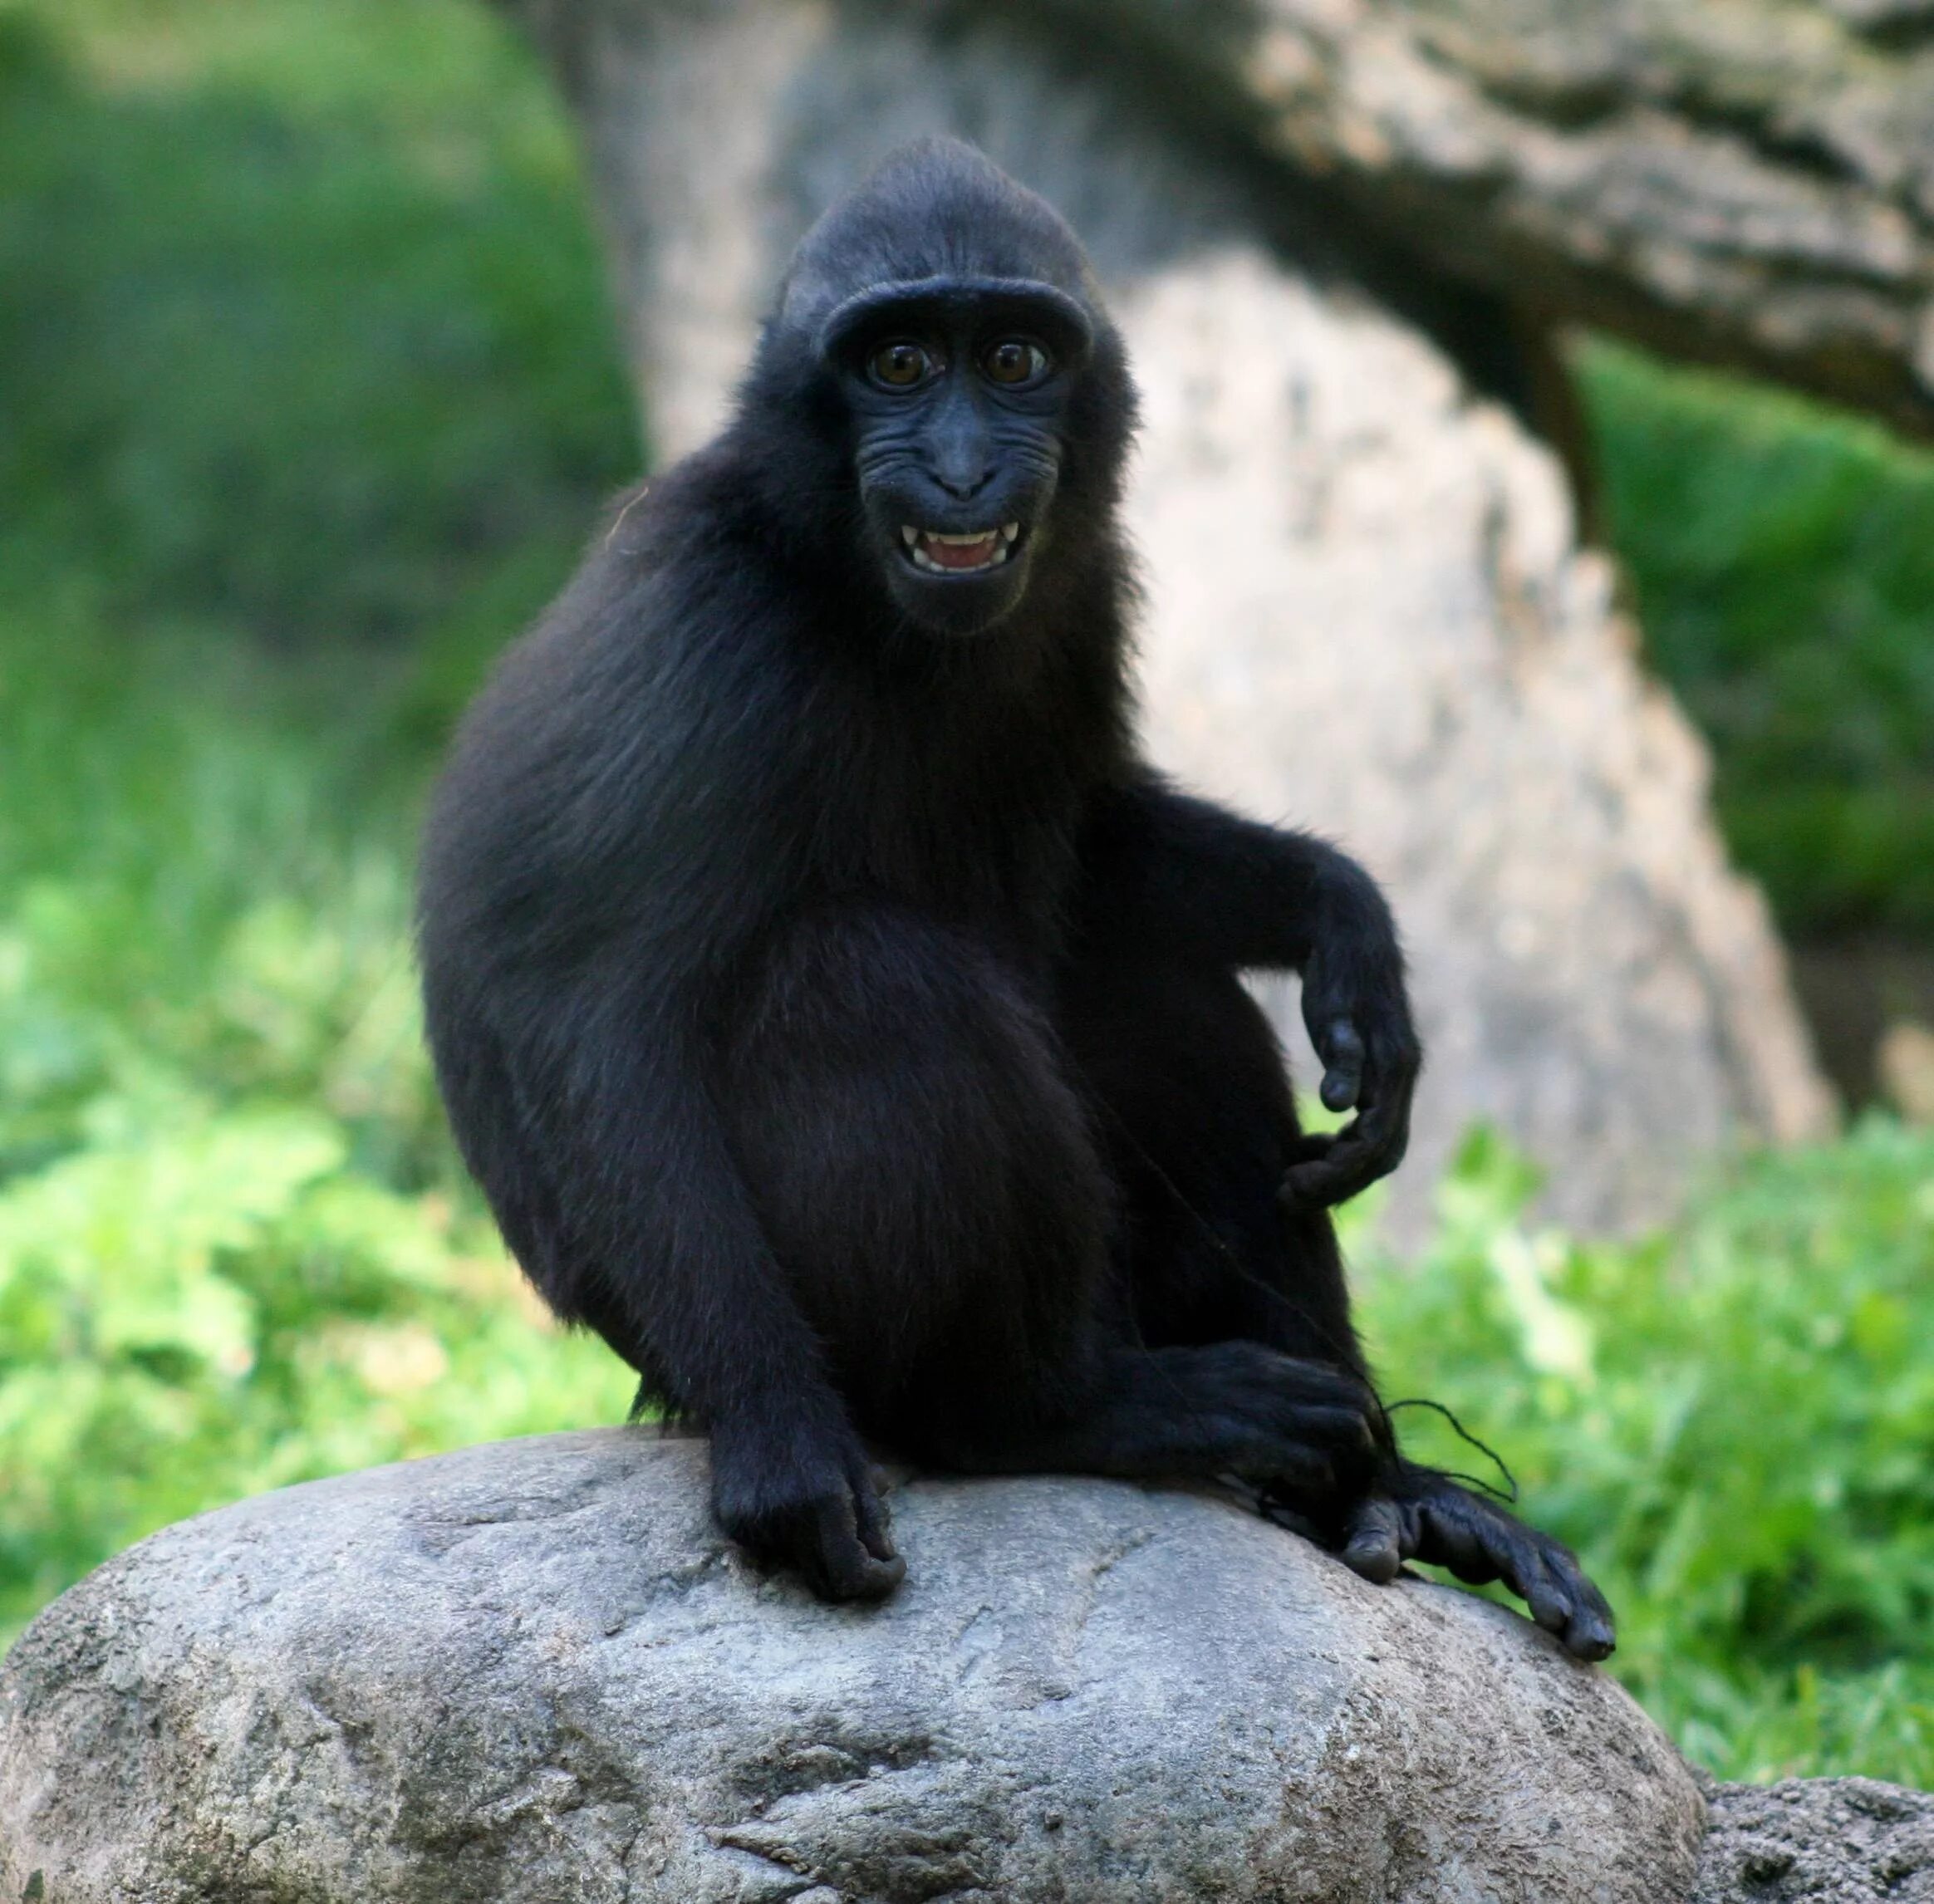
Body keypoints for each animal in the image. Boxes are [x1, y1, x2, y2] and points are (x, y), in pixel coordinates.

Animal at [423, 133, 1617, 1654]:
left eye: (1007, 359)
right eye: (894, 366)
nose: (958, 465)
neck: (848, 590)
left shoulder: (1082, 595)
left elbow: (1100, 848)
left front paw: (1344, 927)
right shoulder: (694, 636)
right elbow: (591, 1016)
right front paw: (783, 1455)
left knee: (1149, 978)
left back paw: (1383, 1487)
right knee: (869, 985)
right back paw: (1058, 1408)